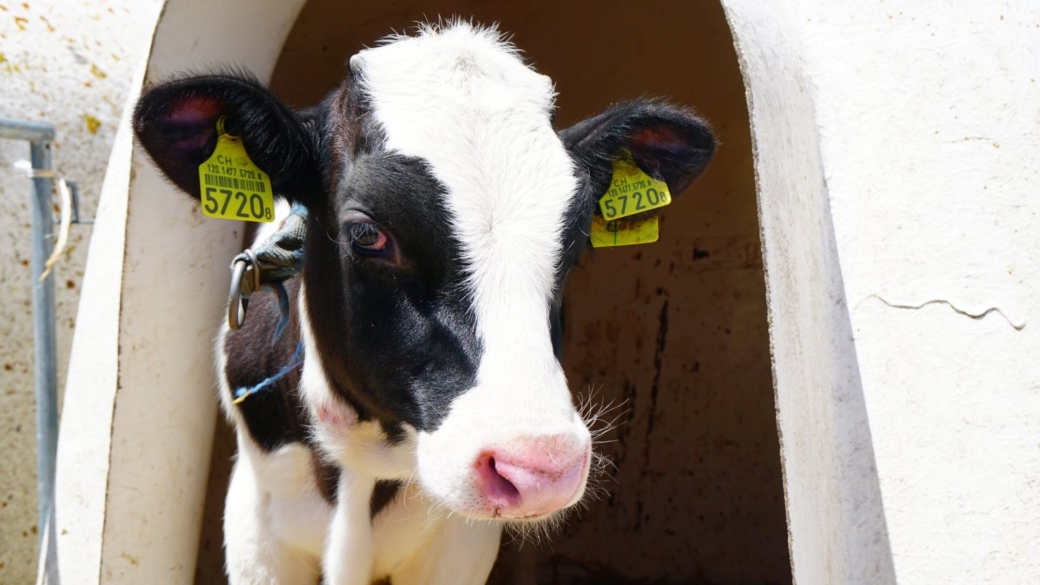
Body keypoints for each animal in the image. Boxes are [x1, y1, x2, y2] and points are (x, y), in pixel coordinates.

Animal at [130, 20, 715, 582]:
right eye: (368, 233)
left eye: (577, 239)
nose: (540, 467)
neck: (363, 466)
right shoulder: (258, 525)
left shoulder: (462, 544)